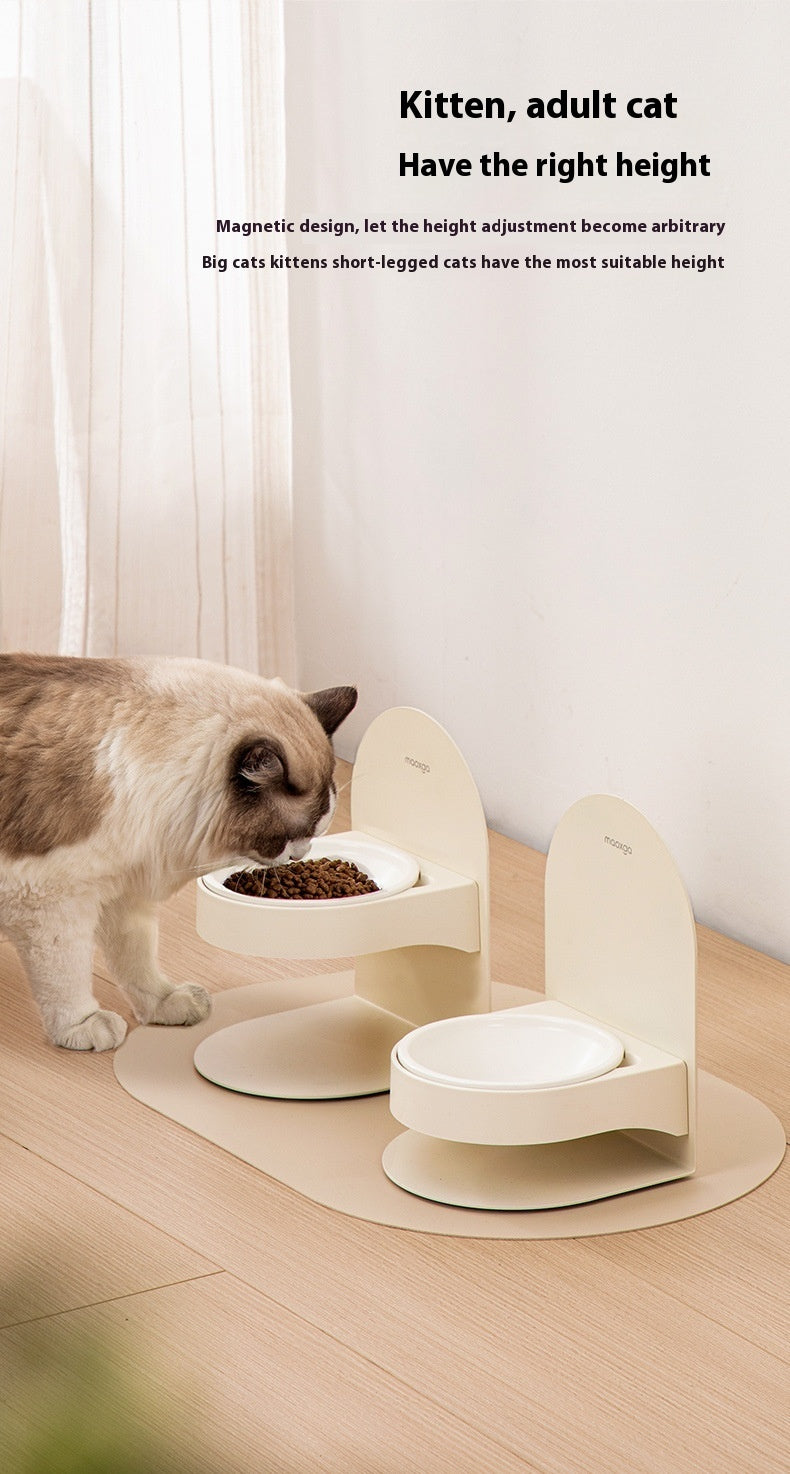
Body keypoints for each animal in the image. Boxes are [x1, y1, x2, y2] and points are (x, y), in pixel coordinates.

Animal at [0, 654, 358, 1049]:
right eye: (291, 836)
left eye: (316, 832)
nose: (299, 854)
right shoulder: (50, 901)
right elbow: (67, 976)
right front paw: (83, 1024)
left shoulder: (124, 892)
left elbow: (137, 959)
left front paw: (164, 1004)